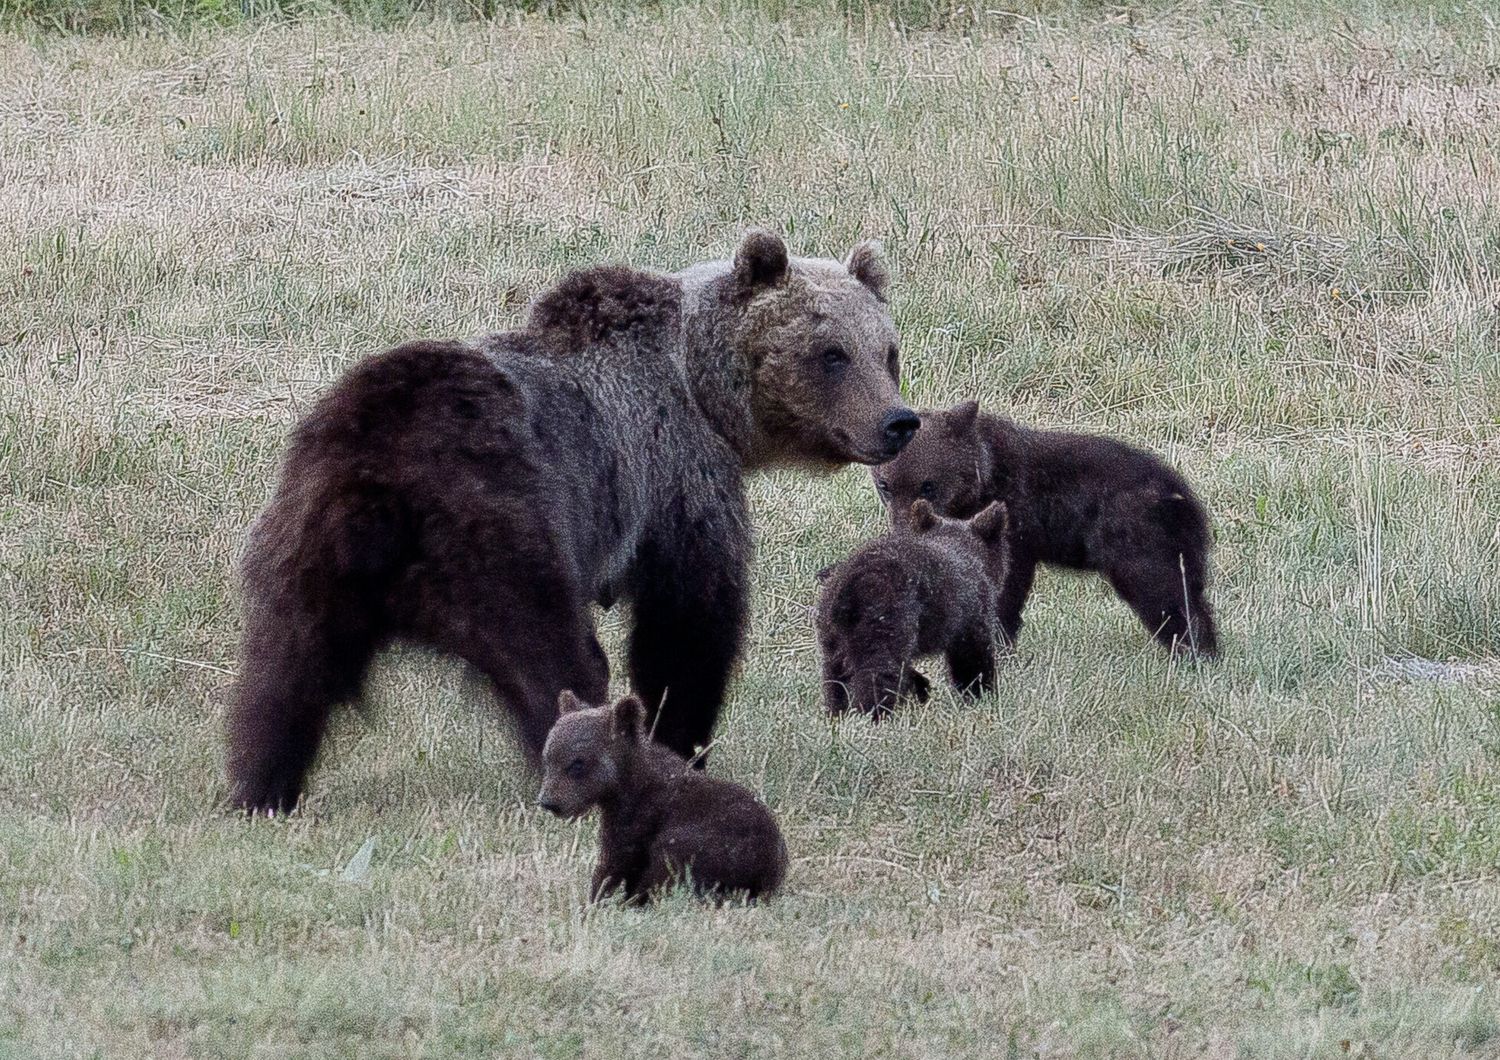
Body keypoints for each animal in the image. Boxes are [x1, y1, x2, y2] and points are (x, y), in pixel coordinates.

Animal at [229, 229, 918, 815]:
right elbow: (689, 622)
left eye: (887, 352)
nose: (898, 421)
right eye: (831, 354)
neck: (704, 389)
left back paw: (260, 789)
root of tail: (376, 494)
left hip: (304, 543)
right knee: (552, 658)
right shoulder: (675, 472)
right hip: (501, 529)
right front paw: (682, 745)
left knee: (281, 677)